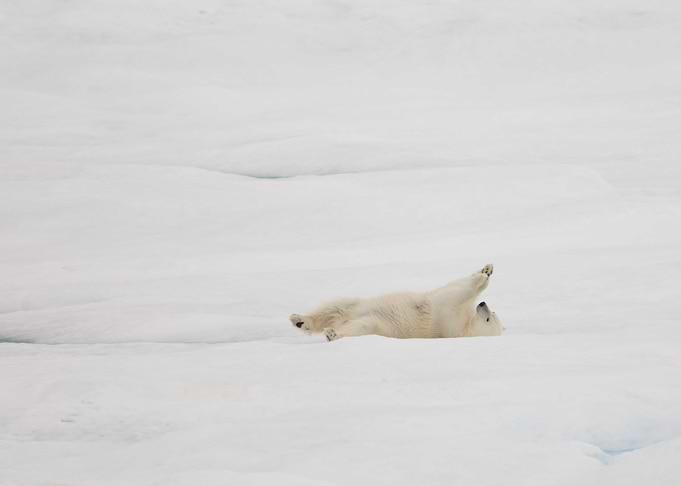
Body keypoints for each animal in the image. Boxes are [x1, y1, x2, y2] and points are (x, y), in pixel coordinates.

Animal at [289, 264, 502, 341]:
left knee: (359, 325)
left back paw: (332, 334)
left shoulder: (447, 316)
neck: (464, 326)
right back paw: (299, 320)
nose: (483, 305)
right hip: (355, 305)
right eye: (493, 314)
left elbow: (458, 292)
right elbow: (458, 287)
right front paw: (487, 270)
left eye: (488, 319)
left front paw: (483, 277)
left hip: (376, 324)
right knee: (336, 306)